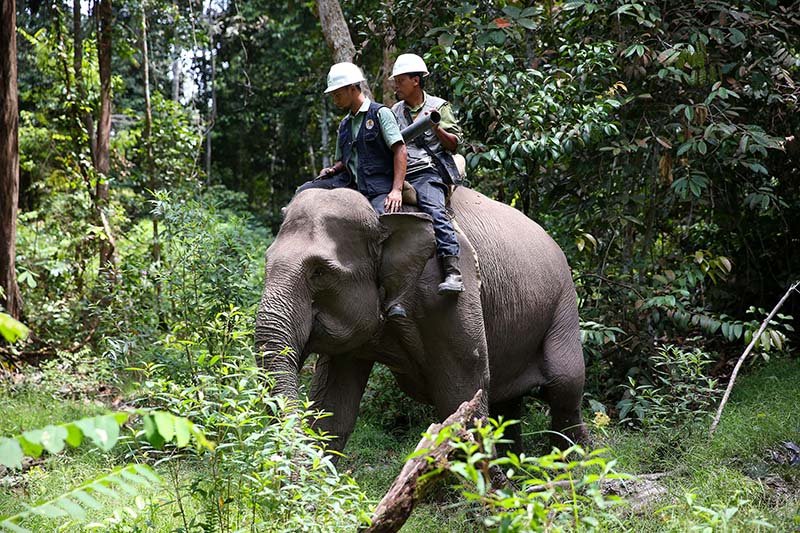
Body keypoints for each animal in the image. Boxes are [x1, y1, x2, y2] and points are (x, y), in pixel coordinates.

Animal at [255, 186, 587, 453]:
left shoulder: (446, 291)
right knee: (508, 405)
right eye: (267, 260)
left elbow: (463, 390)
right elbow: (332, 407)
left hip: (563, 304)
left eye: (319, 272)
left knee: (565, 388)